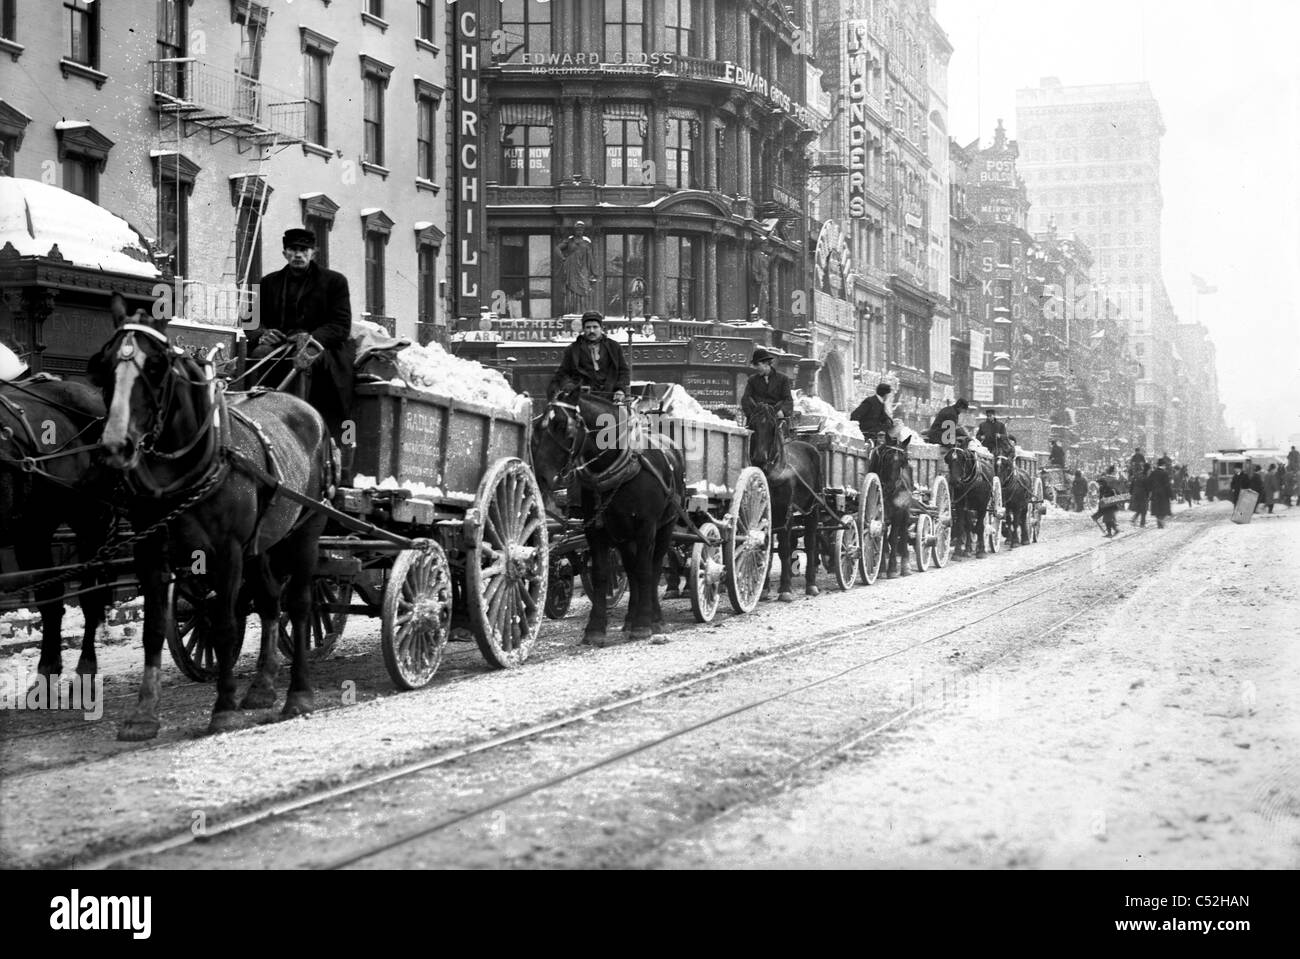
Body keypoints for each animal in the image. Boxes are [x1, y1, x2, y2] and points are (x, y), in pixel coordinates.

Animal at [0, 376, 114, 675]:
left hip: (91, 522)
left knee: (89, 595)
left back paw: (85, 663)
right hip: (33, 531)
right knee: (51, 597)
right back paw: (49, 666)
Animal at [90, 294, 335, 738]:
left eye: (156, 367)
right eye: (103, 365)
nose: (116, 446)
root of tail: (306, 408)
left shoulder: (228, 550)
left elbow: (223, 624)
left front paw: (224, 707)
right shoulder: (150, 551)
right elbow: (154, 629)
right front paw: (143, 714)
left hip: (307, 532)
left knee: (300, 604)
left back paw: (298, 693)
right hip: (263, 543)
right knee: (270, 601)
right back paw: (262, 685)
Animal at [533, 387, 686, 641]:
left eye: (563, 426)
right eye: (537, 426)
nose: (541, 477)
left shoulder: (647, 526)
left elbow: (646, 570)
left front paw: (644, 624)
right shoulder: (596, 529)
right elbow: (602, 574)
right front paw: (595, 628)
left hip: (667, 525)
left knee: (653, 568)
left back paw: (655, 618)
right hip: (623, 535)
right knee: (630, 571)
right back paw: (630, 619)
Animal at [743, 402, 821, 597]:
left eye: (772, 427)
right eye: (753, 425)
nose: (759, 458)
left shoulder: (787, 511)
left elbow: (785, 548)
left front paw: (786, 588)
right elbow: (767, 548)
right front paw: (764, 588)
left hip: (813, 508)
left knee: (810, 543)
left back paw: (811, 584)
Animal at [873, 434, 915, 574]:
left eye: (903, 461)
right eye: (886, 458)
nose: (890, 487)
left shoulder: (898, 512)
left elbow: (894, 536)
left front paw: (891, 568)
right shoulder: (881, 514)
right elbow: (883, 536)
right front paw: (881, 569)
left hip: (906, 510)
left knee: (903, 531)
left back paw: (905, 564)